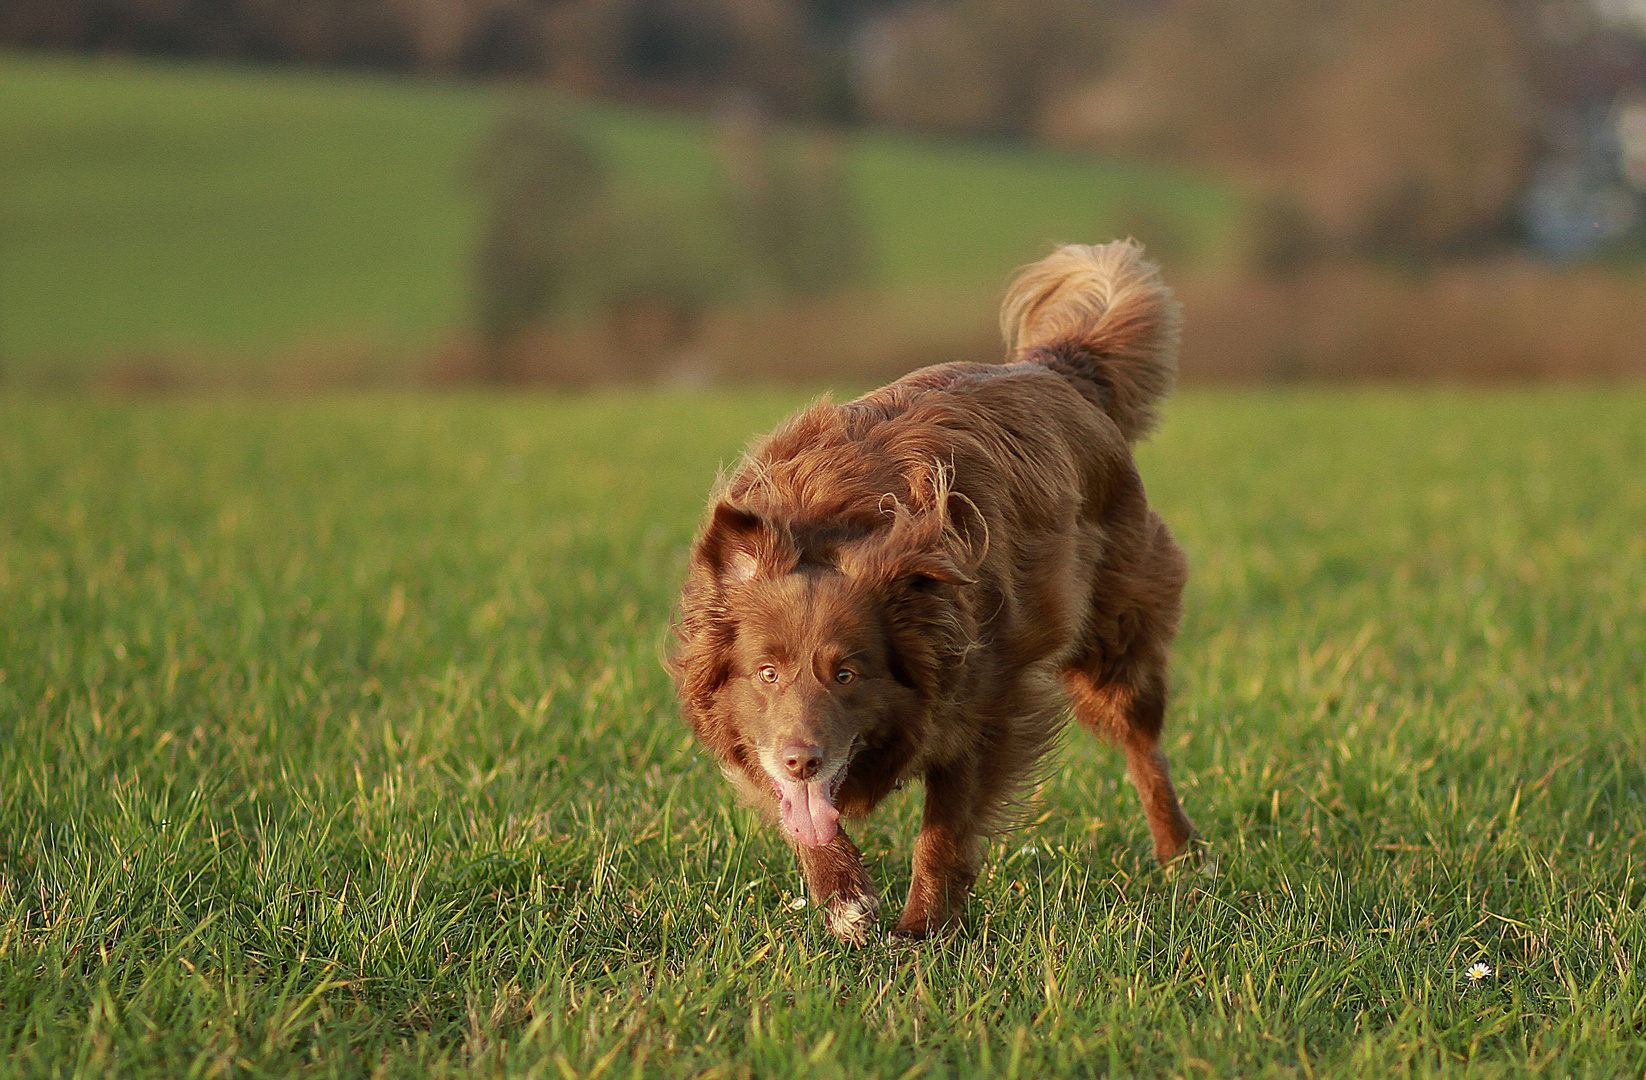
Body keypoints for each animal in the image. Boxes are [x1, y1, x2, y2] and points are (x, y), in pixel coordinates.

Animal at [668, 240, 1198, 941]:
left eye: (847, 674)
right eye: (765, 674)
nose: (802, 761)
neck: (831, 522)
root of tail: (1059, 366)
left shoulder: (987, 706)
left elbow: (942, 834)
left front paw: (922, 932)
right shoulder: (749, 737)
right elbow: (798, 816)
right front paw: (845, 898)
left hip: (1117, 633)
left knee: (1144, 748)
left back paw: (1183, 860)